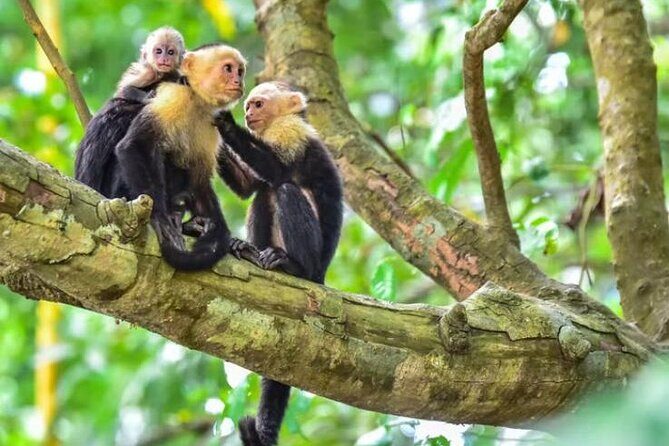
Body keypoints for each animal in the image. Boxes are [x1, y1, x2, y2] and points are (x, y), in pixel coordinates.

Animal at [215, 81, 343, 446]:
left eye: (257, 104)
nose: (247, 113)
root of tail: (322, 275)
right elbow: (249, 187)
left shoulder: (291, 131)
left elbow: (279, 170)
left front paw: (224, 123)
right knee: (263, 195)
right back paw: (248, 251)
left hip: (315, 261)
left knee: (284, 189)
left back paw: (292, 267)